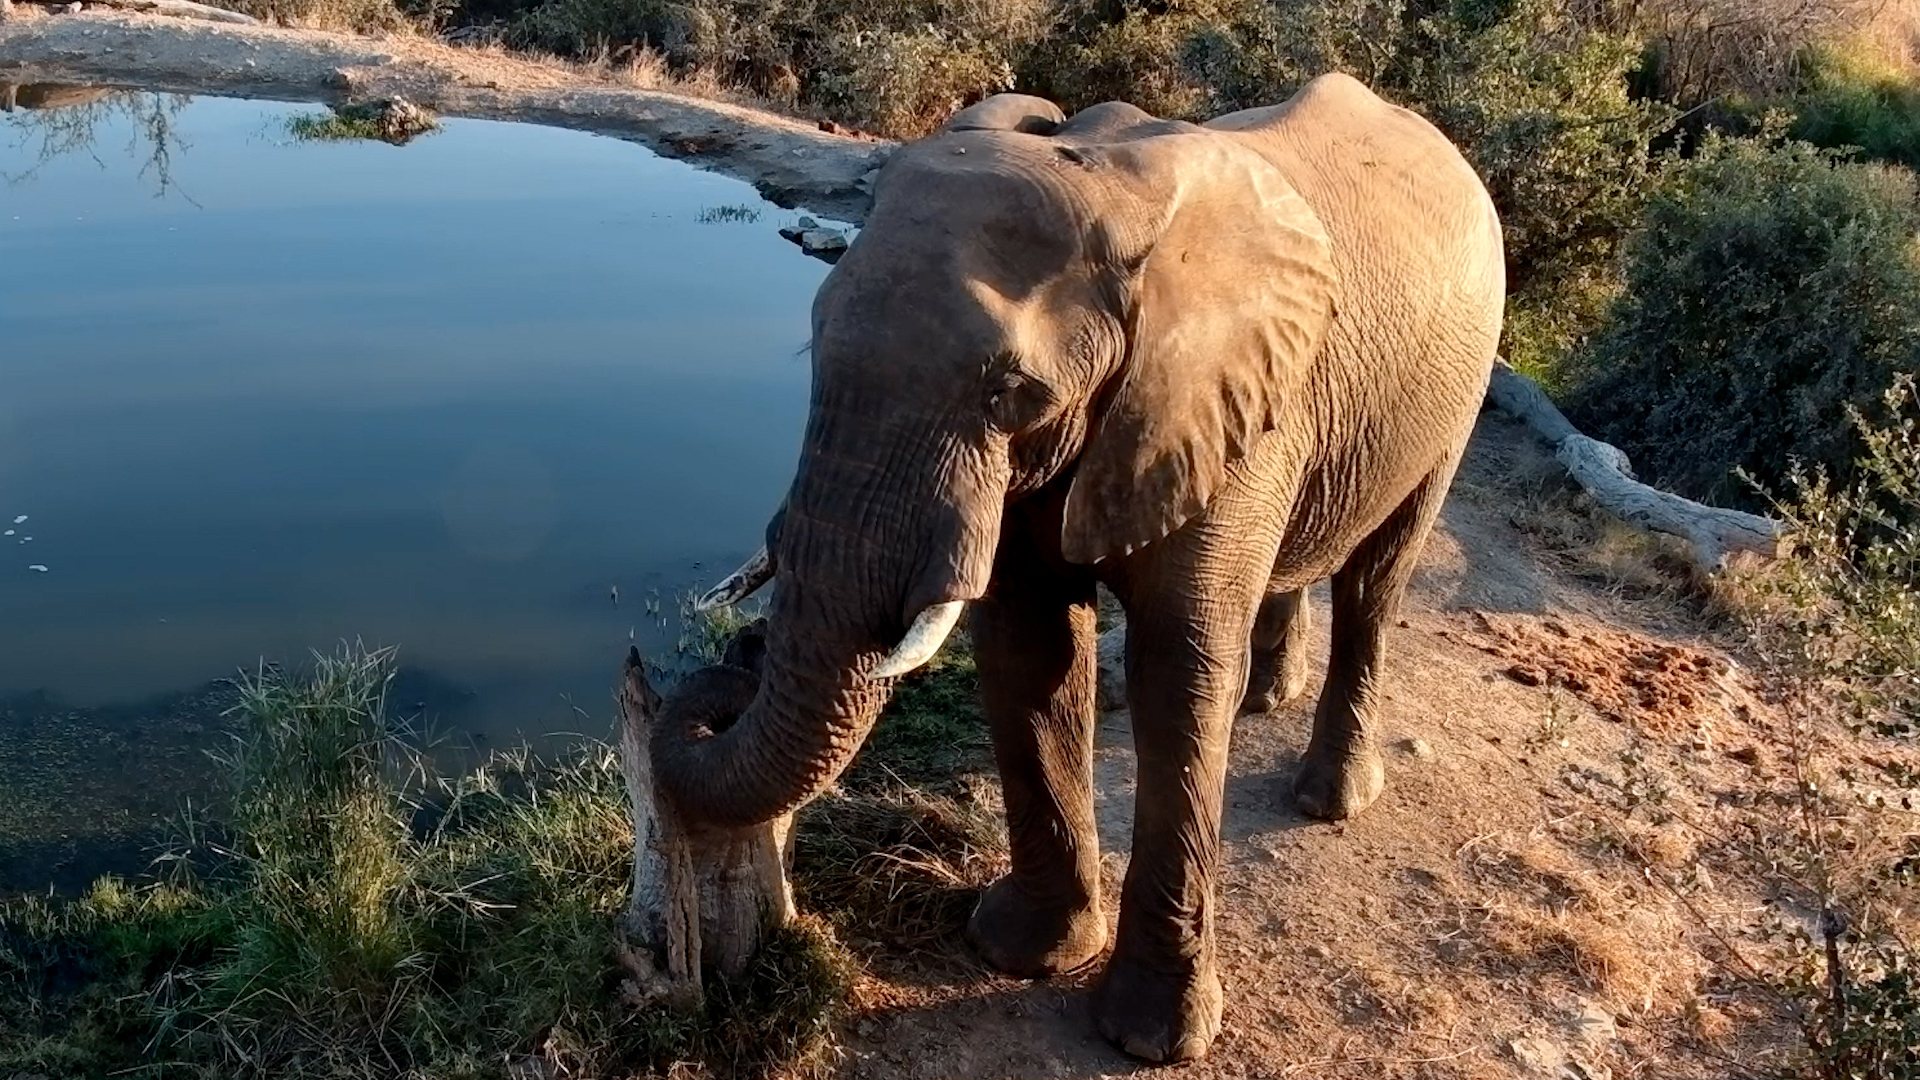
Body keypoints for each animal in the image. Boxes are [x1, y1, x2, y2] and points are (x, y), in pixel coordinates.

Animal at [655, 72, 1505, 1062]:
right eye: (813, 340)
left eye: (1010, 393)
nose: (738, 659)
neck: (1115, 187)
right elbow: (1030, 646)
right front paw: (1019, 951)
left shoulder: (1220, 403)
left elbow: (1180, 673)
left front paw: (1151, 1040)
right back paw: (1268, 699)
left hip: (1459, 391)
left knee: (1378, 580)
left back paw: (1329, 799)